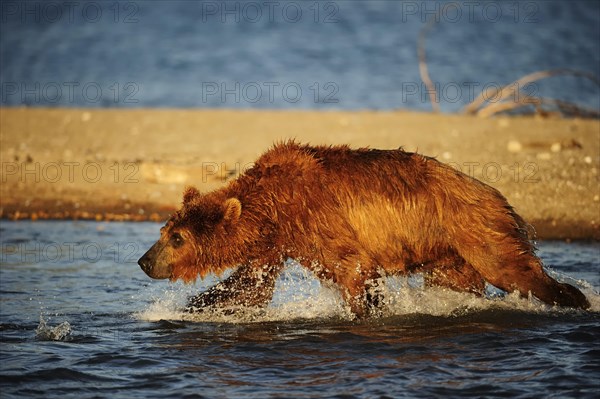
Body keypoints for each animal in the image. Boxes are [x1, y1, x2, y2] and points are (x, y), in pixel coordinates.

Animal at [137, 142, 592, 318]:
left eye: (176, 238)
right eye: (164, 231)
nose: (144, 261)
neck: (274, 209)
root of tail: (496, 192)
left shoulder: (320, 217)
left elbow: (354, 268)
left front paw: (365, 312)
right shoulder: (275, 244)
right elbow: (249, 287)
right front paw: (193, 309)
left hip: (474, 228)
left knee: (512, 268)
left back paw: (575, 299)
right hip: (447, 252)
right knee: (458, 282)